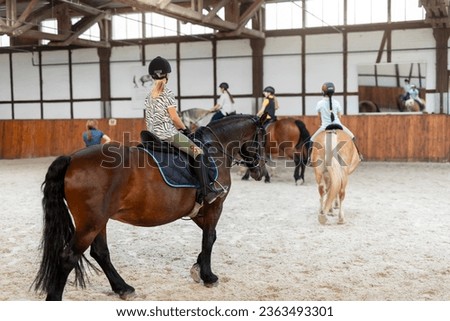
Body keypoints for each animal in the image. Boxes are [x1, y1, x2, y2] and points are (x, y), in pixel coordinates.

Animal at [35, 114, 268, 298]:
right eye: (263, 139)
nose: (260, 172)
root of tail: (72, 159)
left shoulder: (197, 210)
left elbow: (211, 237)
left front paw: (197, 268)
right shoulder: (214, 206)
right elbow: (209, 238)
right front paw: (208, 276)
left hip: (98, 221)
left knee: (100, 252)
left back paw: (123, 288)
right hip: (90, 223)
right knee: (69, 258)